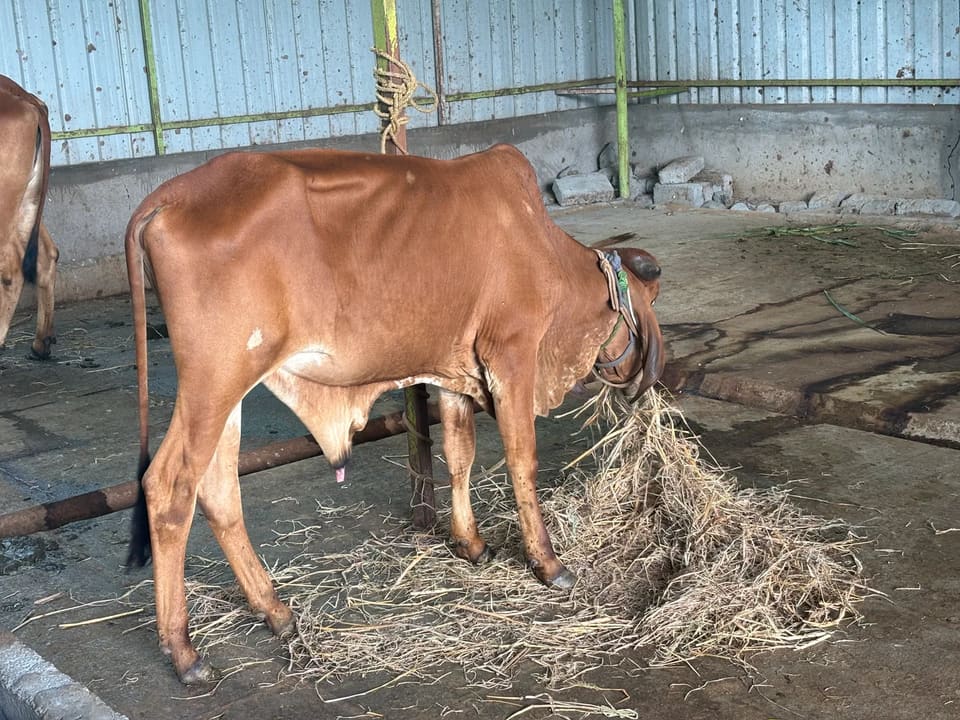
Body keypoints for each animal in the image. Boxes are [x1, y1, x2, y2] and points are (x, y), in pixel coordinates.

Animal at [124, 144, 664, 684]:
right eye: (650, 301)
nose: (652, 374)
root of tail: (167, 197)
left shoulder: (453, 373)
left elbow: (460, 455)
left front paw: (470, 543)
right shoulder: (511, 356)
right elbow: (521, 461)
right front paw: (548, 564)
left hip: (229, 392)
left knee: (218, 490)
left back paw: (274, 610)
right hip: (213, 381)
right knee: (168, 489)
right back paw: (184, 651)